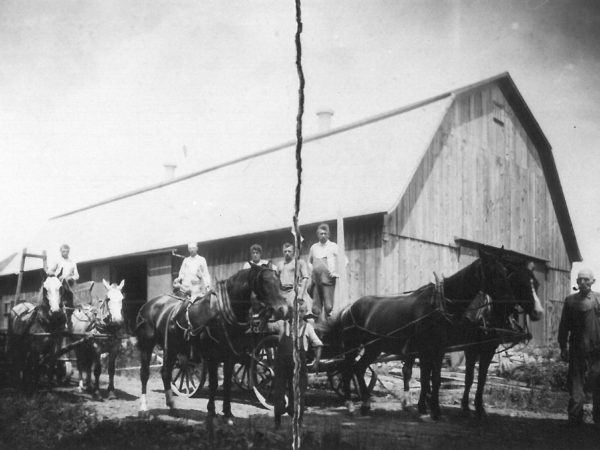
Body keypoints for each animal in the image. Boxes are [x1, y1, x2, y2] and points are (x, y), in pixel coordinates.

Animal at [135, 264, 288, 422]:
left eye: (278, 281)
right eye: (264, 281)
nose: (283, 309)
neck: (219, 313)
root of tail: (148, 305)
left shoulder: (229, 356)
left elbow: (226, 384)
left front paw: (227, 413)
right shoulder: (211, 356)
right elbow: (213, 383)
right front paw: (211, 411)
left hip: (171, 348)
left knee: (165, 373)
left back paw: (172, 407)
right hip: (147, 345)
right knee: (145, 374)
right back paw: (144, 409)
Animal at [324, 248, 516, 420]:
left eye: (505, 271)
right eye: (492, 271)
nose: (510, 300)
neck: (437, 306)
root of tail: (349, 308)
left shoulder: (439, 349)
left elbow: (436, 379)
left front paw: (435, 410)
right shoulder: (424, 350)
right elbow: (425, 378)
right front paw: (424, 409)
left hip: (374, 348)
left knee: (359, 368)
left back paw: (365, 404)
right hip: (352, 347)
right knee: (347, 370)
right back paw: (350, 405)